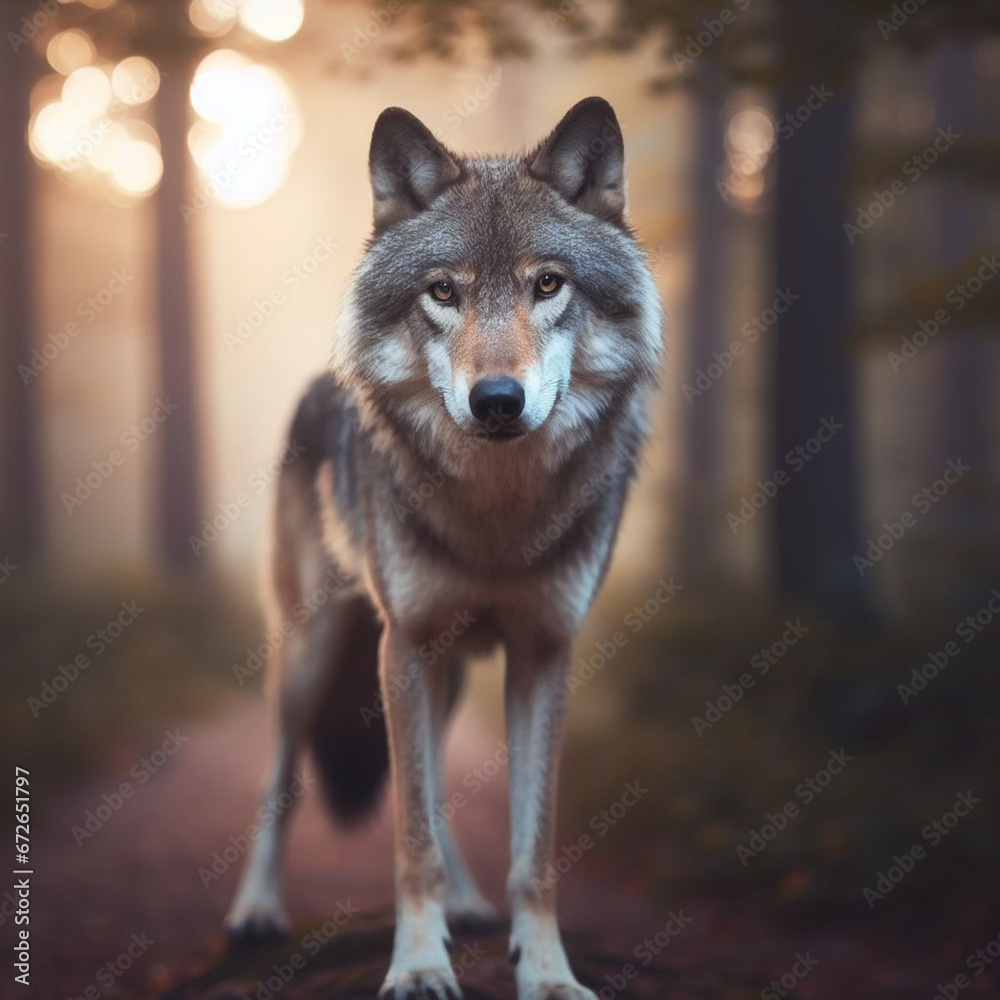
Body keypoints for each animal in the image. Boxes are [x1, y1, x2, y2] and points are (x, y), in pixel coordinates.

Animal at [224, 97, 663, 1000]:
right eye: (443, 292)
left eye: (547, 284)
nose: (497, 400)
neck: (496, 519)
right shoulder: (406, 645)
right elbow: (409, 837)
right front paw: (420, 965)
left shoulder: (543, 653)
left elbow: (531, 850)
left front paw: (548, 972)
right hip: (315, 656)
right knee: (283, 778)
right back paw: (255, 911)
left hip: (446, 670)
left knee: (432, 792)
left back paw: (466, 903)